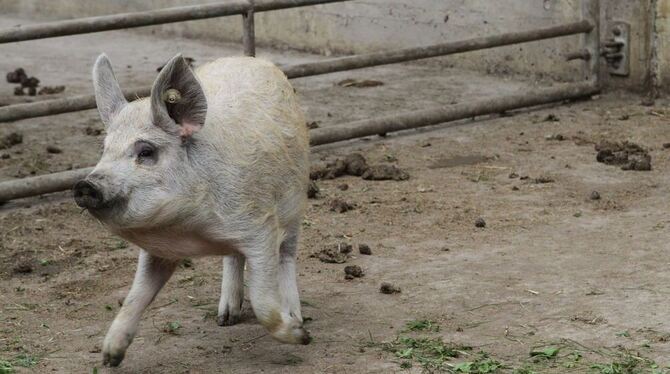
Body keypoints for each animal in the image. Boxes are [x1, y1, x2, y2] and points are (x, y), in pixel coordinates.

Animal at [74, 54, 312, 366]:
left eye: (146, 152)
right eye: (105, 150)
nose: (85, 185)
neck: (191, 232)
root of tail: (253, 59)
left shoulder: (261, 229)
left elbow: (263, 299)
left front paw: (301, 336)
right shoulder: (158, 251)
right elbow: (135, 296)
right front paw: (109, 357)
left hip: (295, 203)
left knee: (287, 255)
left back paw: (296, 315)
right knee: (233, 257)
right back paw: (225, 318)